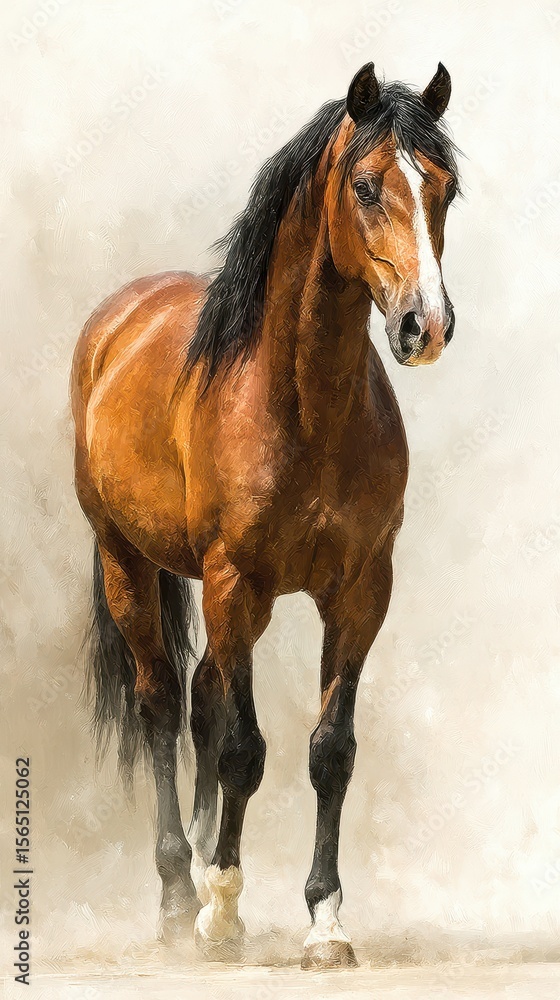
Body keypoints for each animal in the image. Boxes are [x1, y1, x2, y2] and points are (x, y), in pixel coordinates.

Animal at [71, 61, 459, 969]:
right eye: (366, 186)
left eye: (447, 189)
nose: (425, 326)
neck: (302, 404)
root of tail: (118, 321)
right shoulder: (235, 583)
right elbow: (244, 750)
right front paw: (220, 909)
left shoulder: (361, 592)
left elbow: (330, 751)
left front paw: (324, 921)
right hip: (126, 561)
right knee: (160, 703)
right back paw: (180, 894)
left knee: (204, 697)